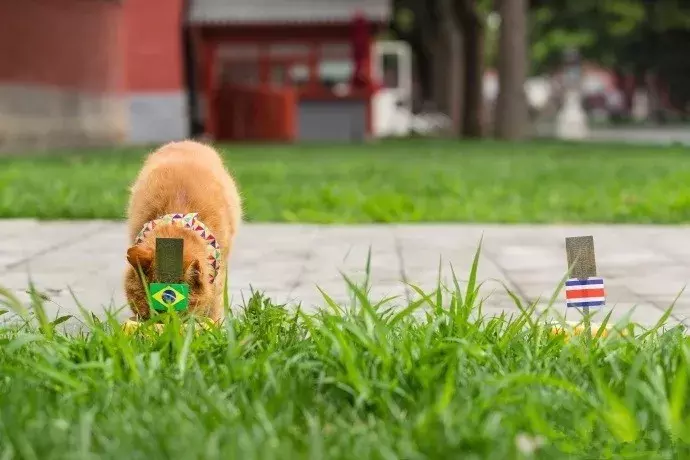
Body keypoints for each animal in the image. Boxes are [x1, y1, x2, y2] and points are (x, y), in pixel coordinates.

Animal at [123, 140, 242, 320]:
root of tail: (186, 141)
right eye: (147, 316)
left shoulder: (219, 277)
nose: (163, 325)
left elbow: (214, 306)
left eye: (179, 316)